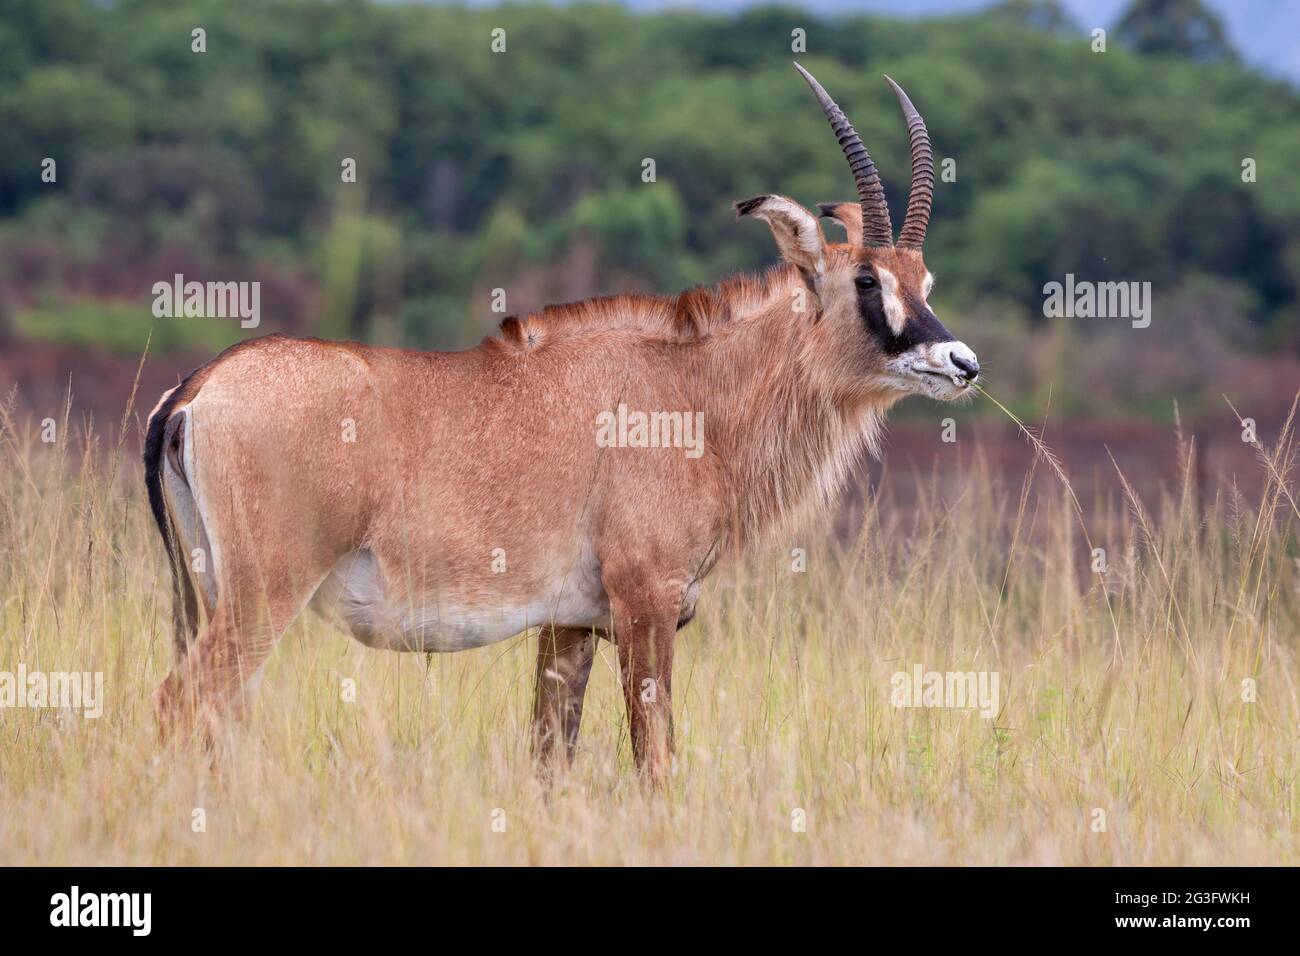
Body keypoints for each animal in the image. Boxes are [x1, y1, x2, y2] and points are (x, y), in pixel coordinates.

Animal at [144, 67, 977, 785]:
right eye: (866, 280)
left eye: (925, 281)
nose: (961, 362)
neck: (694, 398)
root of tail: (197, 390)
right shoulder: (646, 606)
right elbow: (655, 761)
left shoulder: (567, 626)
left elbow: (551, 759)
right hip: (264, 592)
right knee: (184, 699)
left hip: (207, 592)